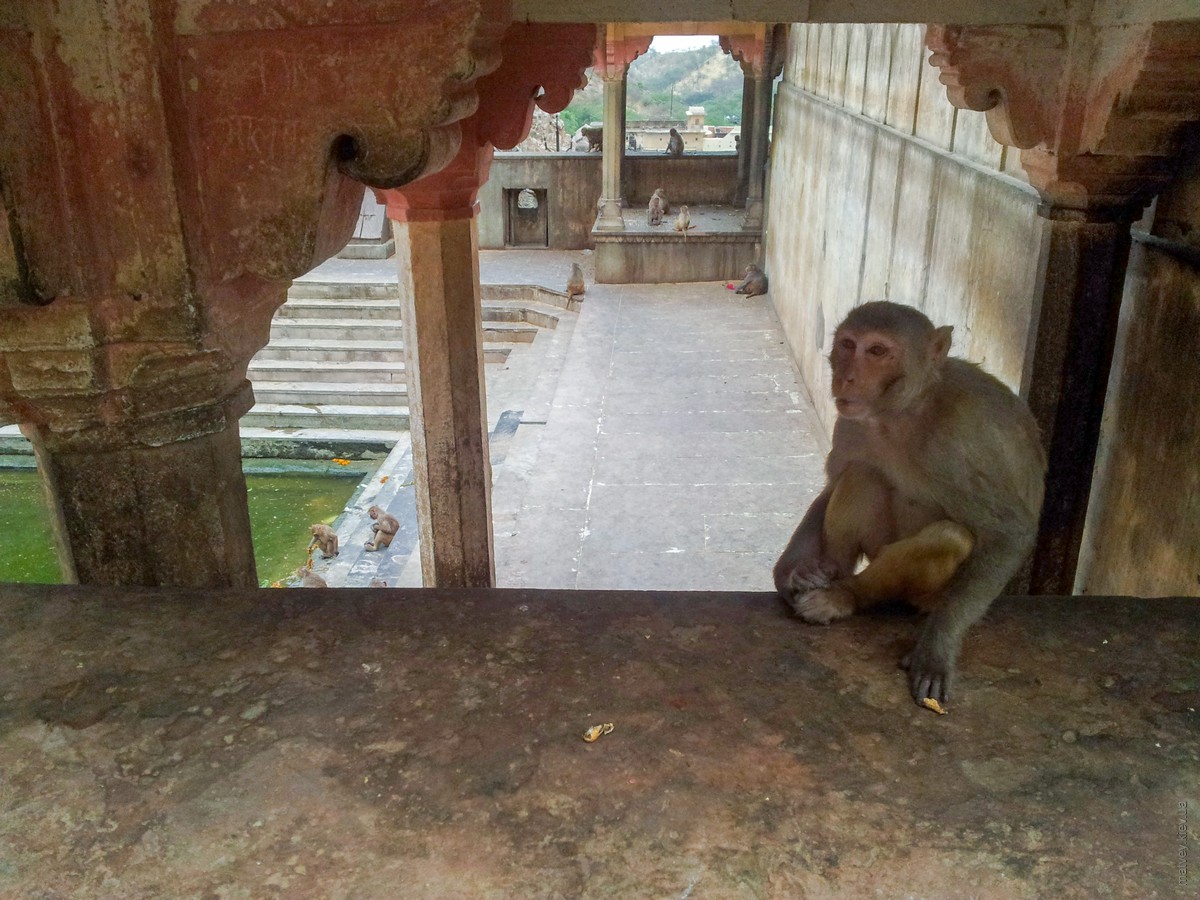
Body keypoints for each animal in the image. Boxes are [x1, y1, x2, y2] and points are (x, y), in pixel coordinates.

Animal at [772, 300, 1046, 710]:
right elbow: (834, 484)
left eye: (877, 351)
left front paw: (936, 649)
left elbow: (1010, 531)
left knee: (948, 538)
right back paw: (828, 572)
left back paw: (846, 595)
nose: (847, 378)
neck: (901, 414)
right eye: (848, 344)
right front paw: (788, 574)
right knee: (863, 474)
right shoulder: (853, 424)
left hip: (930, 596)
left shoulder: (952, 446)